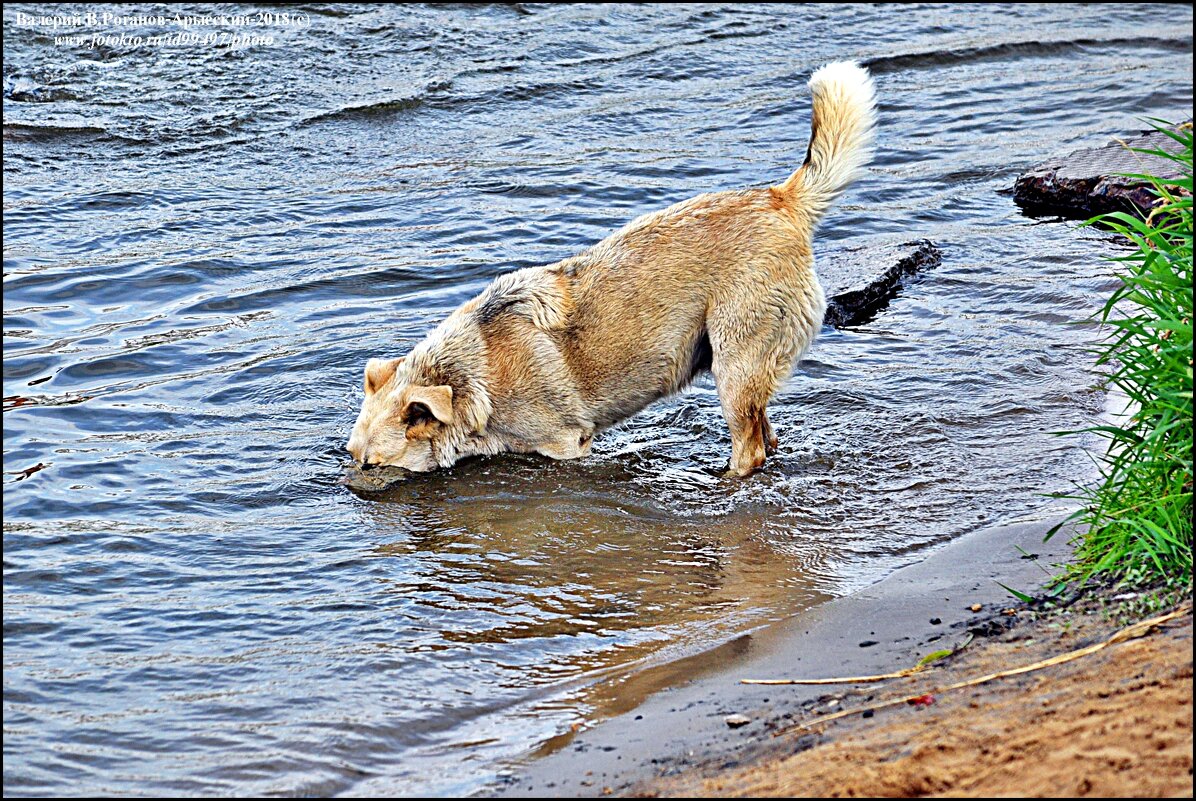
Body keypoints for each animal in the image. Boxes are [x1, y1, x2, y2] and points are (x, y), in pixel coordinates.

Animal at [346, 62, 880, 480]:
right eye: (352, 454)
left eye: (373, 464)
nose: (347, 486)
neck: (470, 377)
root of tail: (780, 199)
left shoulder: (565, 444)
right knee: (767, 438)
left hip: (734, 367)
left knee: (749, 450)